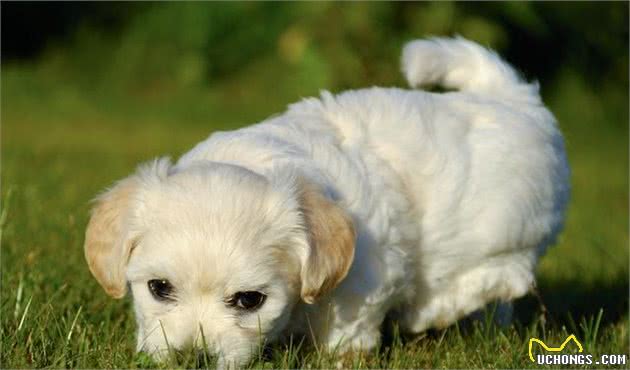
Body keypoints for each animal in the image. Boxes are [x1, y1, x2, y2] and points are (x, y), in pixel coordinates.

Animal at [84, 36, 572, 366]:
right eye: (159, 288)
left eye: (249, 300)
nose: (192, 359)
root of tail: (516, 100)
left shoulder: (367, 276)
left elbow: (348, 329)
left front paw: (340, 357)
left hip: (509, 230)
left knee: (508, 275)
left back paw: (431, 309)